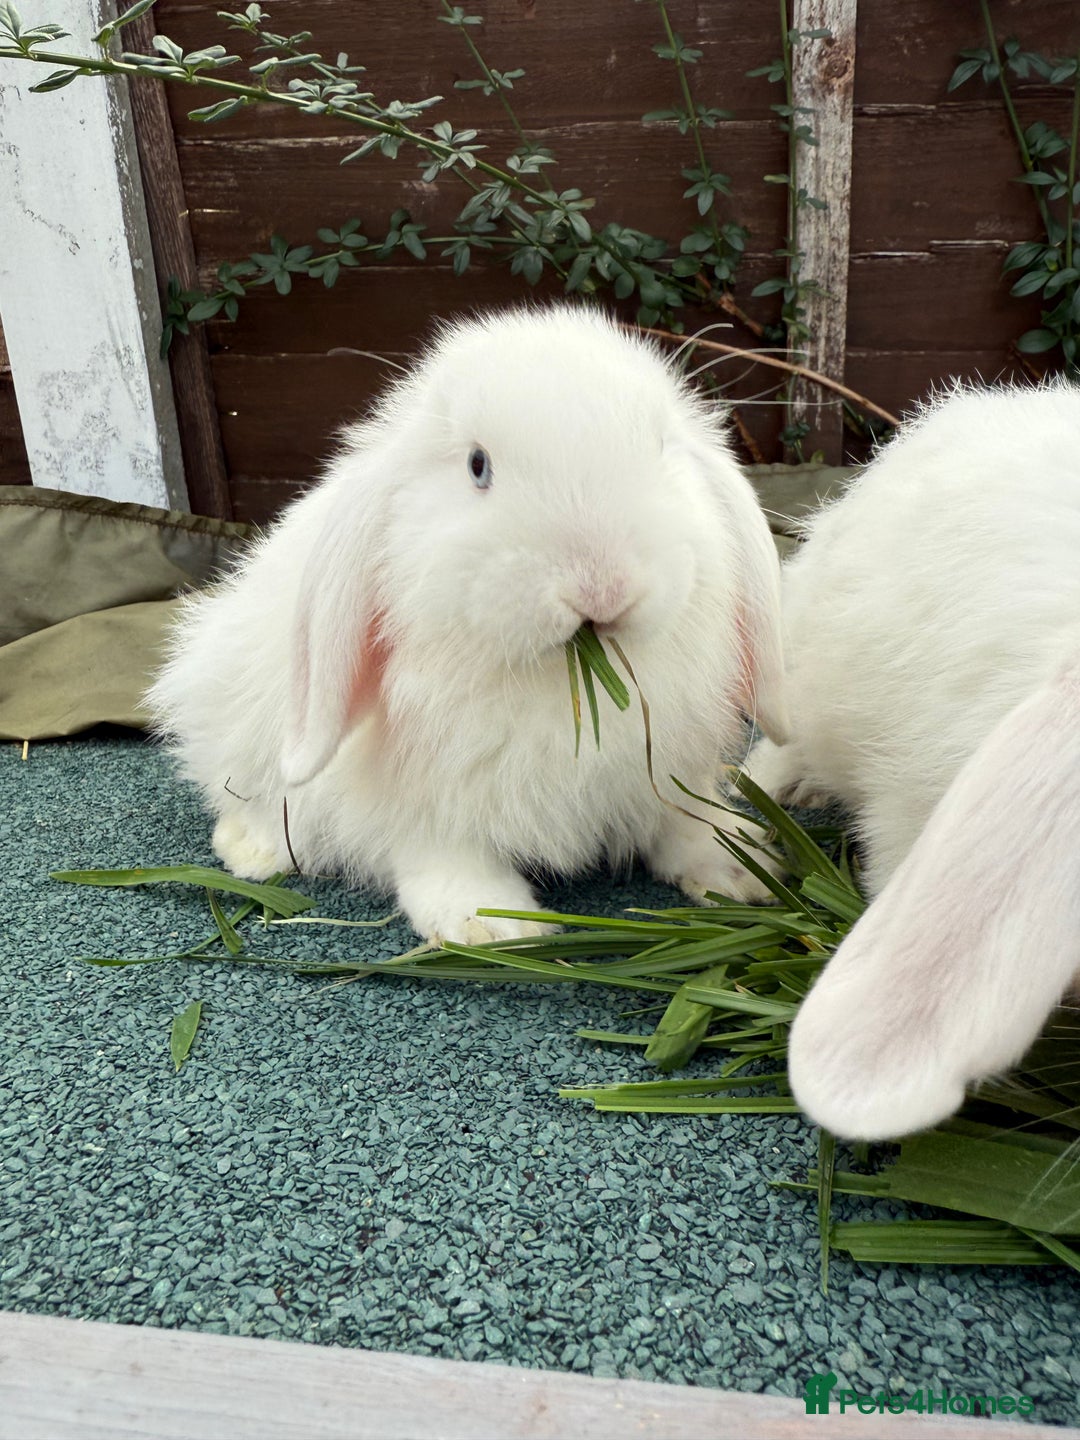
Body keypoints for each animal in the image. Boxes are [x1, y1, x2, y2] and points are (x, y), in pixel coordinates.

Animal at [147, 305, 790, 946]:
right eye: (477, 466)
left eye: (660, 448)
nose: (602, 587)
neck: (557, 687)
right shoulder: (425, 801)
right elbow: (446, 855)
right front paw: (491, 926)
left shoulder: (672, 770)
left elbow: (686, 821)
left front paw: (743, 870)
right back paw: (252, 852)